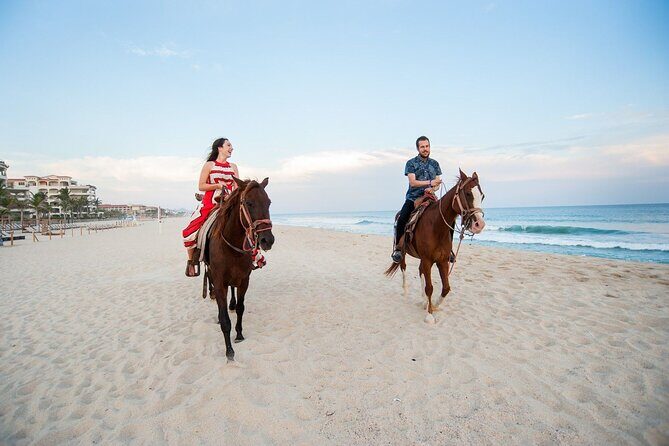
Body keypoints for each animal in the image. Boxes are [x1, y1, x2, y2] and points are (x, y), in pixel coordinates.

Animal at [205, 177, 274, 361]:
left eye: (269, 202)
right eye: (249, 203)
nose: (267, 240)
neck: (232, 244)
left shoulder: (244, 280)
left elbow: (241, 308)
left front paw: (239, 335)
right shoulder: (219, 282)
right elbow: (224, 319)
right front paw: (229, 350)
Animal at [385, 169, 486, 323]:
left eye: (482, 196)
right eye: (468, 193)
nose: (479, 225)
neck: (436, 226)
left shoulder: (442, 261)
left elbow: (446, 288)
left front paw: (434, 305)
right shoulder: (427, 260)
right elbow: (430, 287)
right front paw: (429, 315)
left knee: (420, 271)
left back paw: (423, 301)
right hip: (403, 252)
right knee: (403, 268)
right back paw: (406, 292)